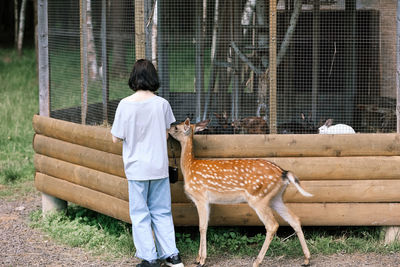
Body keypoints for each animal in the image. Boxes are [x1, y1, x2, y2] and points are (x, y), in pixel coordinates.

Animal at [168, 119, 312, 267]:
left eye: (176, 127)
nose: (168, 129)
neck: (189, 168)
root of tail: (283, 173)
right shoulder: (207, 201)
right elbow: (205, 225)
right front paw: (198, 258)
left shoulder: (200, 197)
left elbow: (202, 227)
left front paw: (202, 260)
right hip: (275, 198)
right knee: (294, 219)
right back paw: (306, 259)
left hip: (258, 197)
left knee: (272, 225)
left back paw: (257, 261)